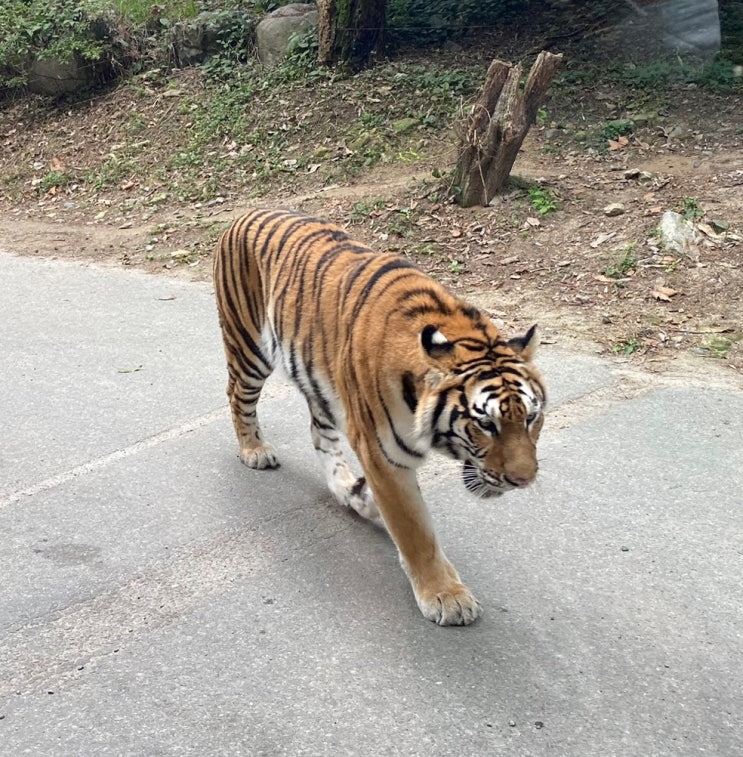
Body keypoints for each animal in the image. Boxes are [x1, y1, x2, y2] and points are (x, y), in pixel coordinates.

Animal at [215, 207, 548, 628]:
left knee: (320, 435)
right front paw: (446, 596)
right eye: (485, 424)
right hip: (249, 349)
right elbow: (415, 531)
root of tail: (246, 212)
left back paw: (351, 493)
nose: (524, 480)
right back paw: (254, 450)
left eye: (532, 418)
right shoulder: (382, 455)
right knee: (237, 395)